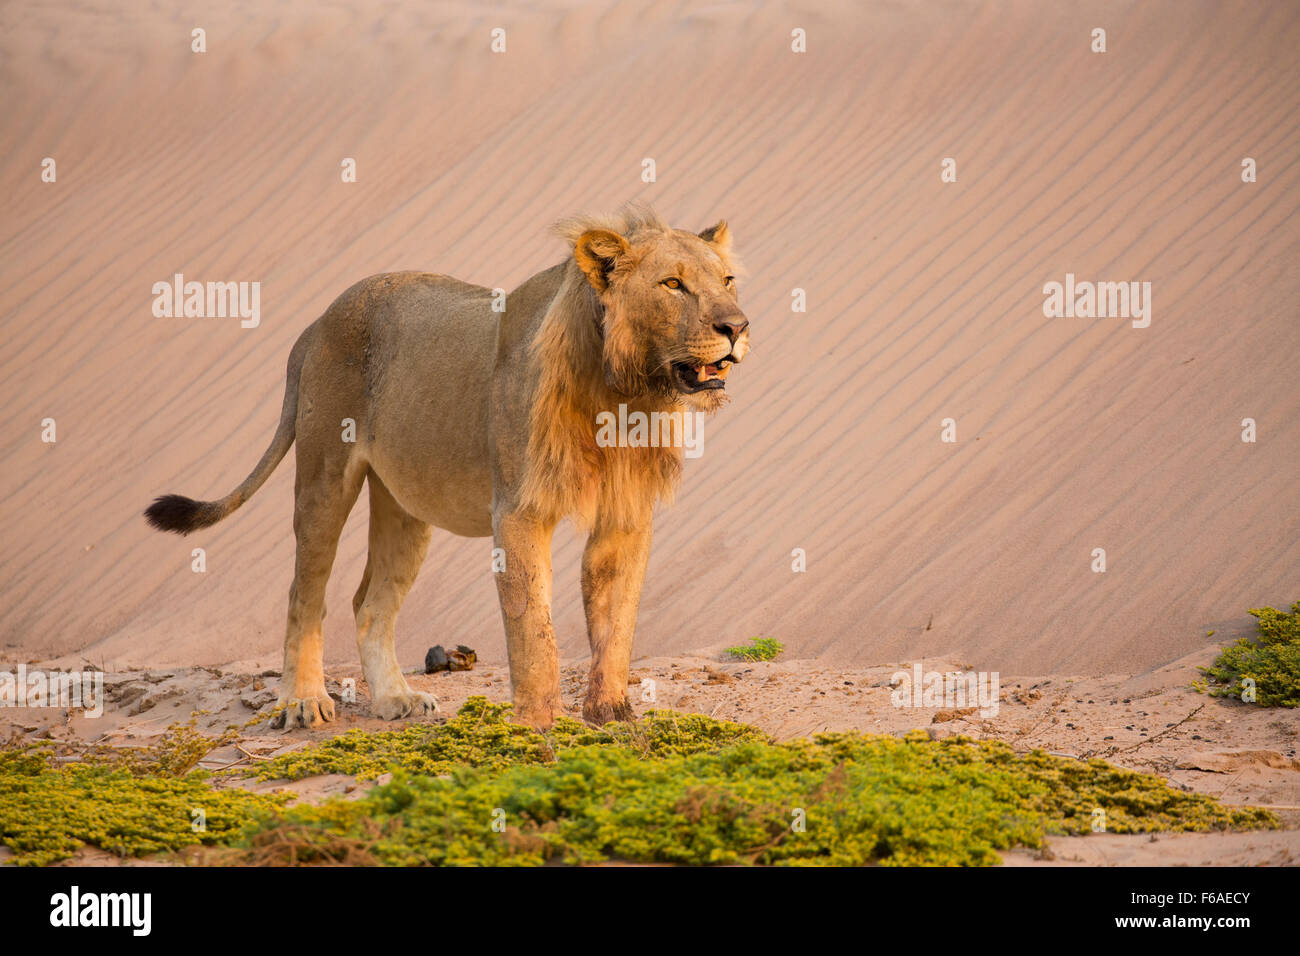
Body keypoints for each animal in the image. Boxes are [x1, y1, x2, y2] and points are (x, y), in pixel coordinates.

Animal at [139, 205, 754, 728]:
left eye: (726, 281)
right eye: (672, 285)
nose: (737, 327)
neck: (625, 391)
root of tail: (316, 323)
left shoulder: (625, 515)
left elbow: (616, 621)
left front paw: (612, 716)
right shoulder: (519, 510)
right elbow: (534, 630)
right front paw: (537, 728)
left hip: (404, 507)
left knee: (369, 603)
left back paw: (395, 698)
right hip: (323, 477)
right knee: (305, 594)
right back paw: (303, 701)